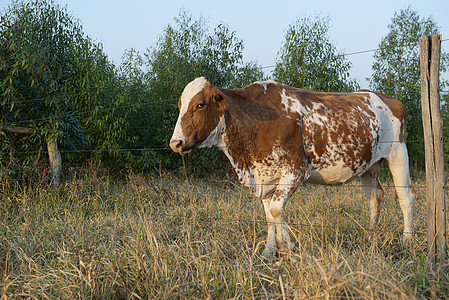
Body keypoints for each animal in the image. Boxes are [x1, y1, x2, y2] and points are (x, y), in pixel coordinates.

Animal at [168, 77, 412, 258]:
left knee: (405, 198)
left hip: (398, 154)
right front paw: (269, 251)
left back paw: (406, 239)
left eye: (200, 104)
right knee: (374, 197)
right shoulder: (265, 177)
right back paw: (371, 234)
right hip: (368, 166)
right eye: (180, 105)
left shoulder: (295, 170)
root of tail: (384, 97)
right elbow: (269, 215)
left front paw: (289, 246)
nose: (175, 143)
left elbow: (277, 210)